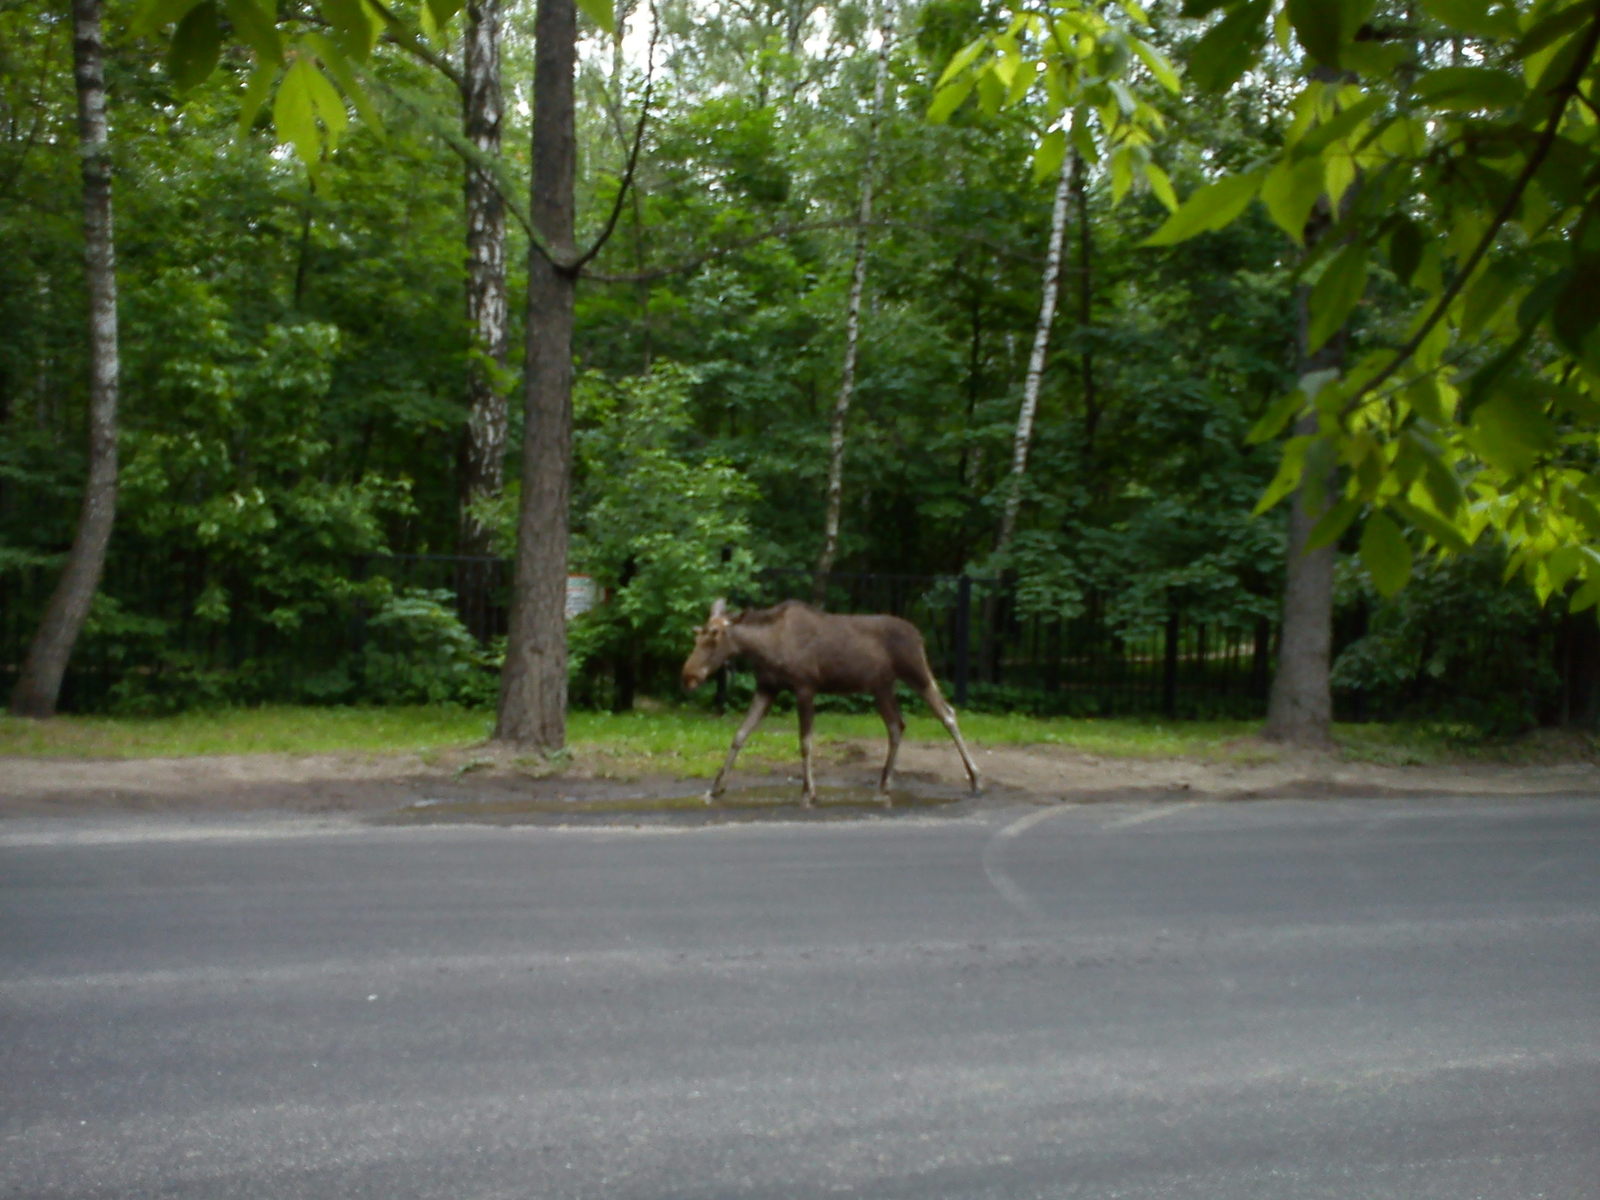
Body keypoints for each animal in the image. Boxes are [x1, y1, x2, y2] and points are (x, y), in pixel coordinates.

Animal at [678, 601, 979, 809]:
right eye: (697, 635)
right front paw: (715, 788)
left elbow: (805, 742)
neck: (765, 648)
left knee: (947, 714)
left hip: (916, 672)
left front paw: (808, 792)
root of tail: (919, 635)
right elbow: (740, 734)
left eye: (715, 634)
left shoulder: (805, 687)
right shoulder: (767, 688)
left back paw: (975, 778)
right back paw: (883, 784)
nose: (688, 675)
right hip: (881, 687)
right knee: (897, 724)